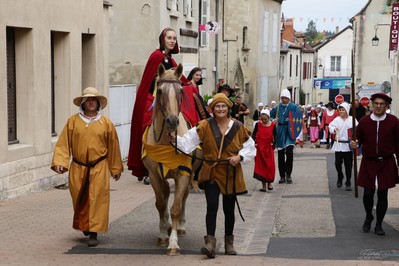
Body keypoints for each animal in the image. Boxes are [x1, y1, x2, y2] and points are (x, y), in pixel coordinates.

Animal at [142, 62, 194, 256]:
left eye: (181, 91)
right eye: (160, 91)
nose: (172, 121)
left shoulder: (183, 175)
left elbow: (176, 207)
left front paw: (173, 243)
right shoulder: (154, 175)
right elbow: (160, 203)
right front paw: (164, 234)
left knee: (184, 198)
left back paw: (181, 227)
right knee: (164, 197)